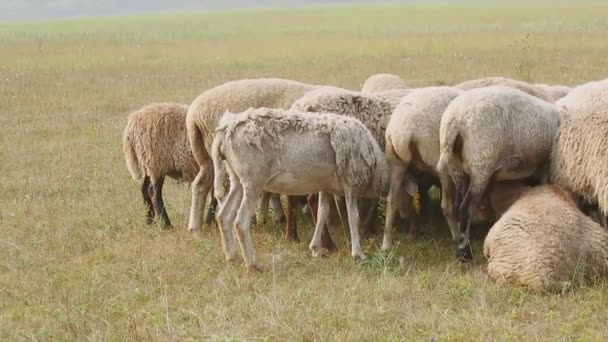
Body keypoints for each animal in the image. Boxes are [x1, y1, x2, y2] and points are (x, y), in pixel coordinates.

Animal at [211, 107, 388, 270]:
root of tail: (225, 130)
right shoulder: (351, 182)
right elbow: (354, 218)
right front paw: (358, 254)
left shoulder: (326, 186)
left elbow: (322, 213)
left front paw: (316, 248)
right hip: (253, 178)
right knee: (240, 222)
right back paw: (253, 264)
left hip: (237, 178)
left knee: (224, 216)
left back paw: (232, 257)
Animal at [382, 86, 464, 251]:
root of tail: (403, 130)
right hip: (438, 159)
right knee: (446, 205)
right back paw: (457, 237)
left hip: (396, 163)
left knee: (391, 201)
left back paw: (386, 244)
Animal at [436, 85, 560, 260]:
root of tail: (455, 120)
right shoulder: (545, 166)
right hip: (481, 163)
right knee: (465, 208)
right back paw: (465, 251)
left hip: (457, 167)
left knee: (458, 203)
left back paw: (462, 238)